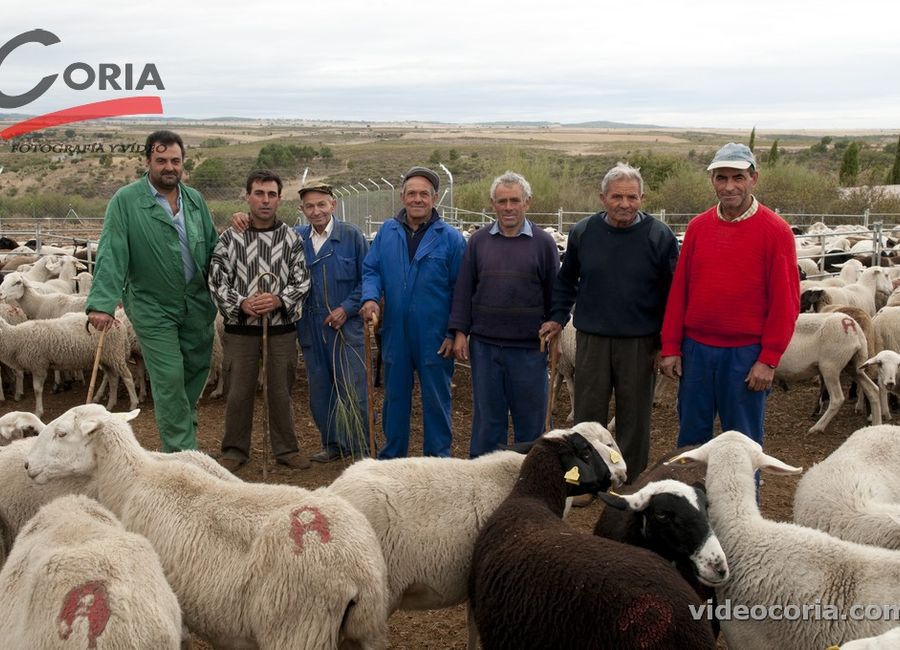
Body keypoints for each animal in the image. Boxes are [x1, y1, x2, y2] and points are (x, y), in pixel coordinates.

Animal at [0, 312, 137, 418]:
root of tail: (119, 324)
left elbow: (37, 390)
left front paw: (38, 412)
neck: (15, 338)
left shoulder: (38, 366)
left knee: (128, 377)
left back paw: (133, 403)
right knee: (113, 379)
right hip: (107, 357)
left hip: (115, 354)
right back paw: (110, 404)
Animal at [24, 402, 388, 644]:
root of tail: (356, 569)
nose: (27, 465)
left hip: (298, 627)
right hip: (366, 631)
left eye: (61, 433)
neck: (132, 479)